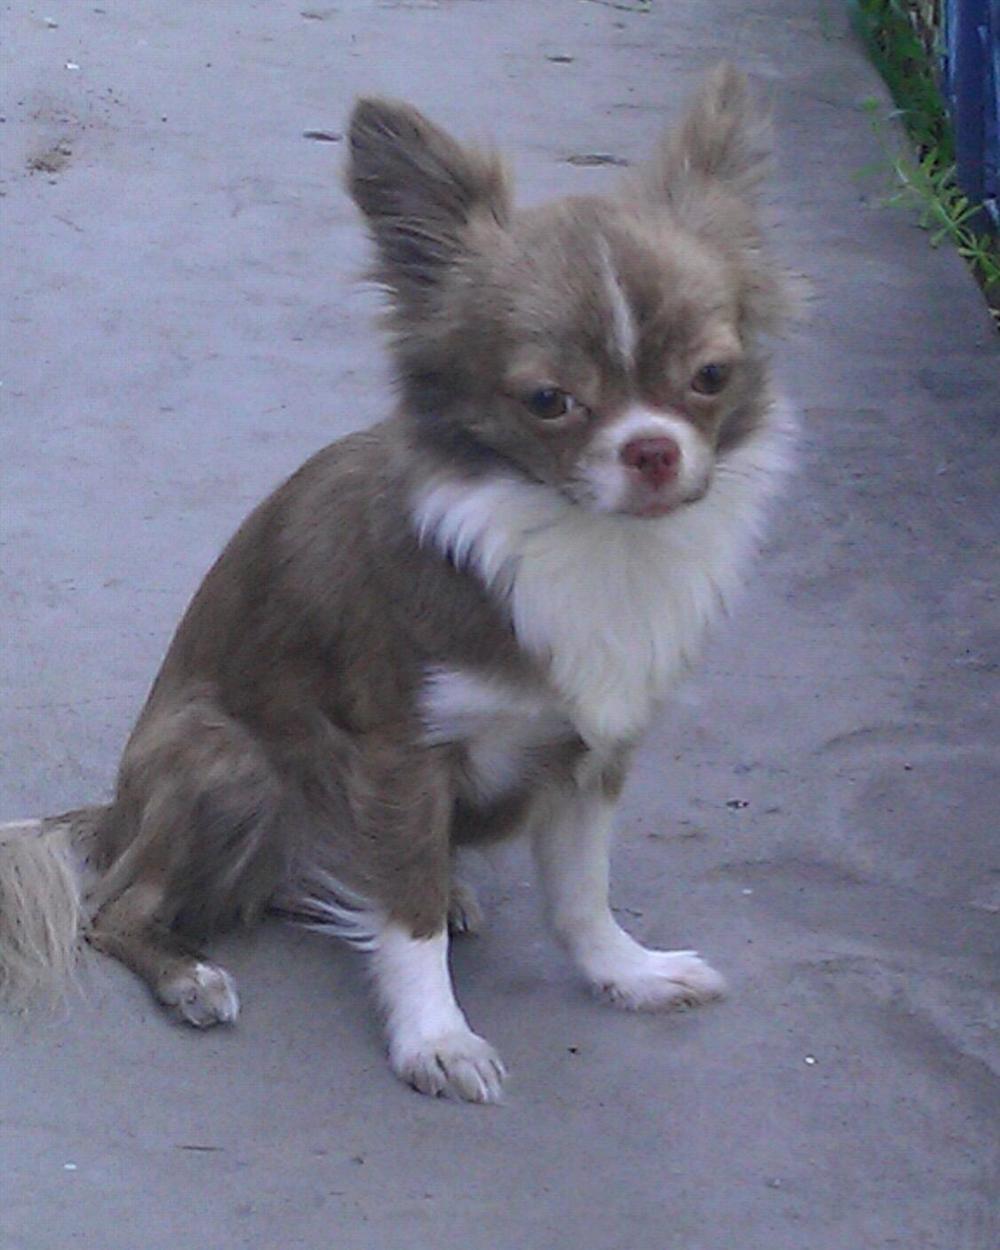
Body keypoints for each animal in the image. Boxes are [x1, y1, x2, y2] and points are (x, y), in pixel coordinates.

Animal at [0, 65, 794, 1102]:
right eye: (548, 401)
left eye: (710, 376)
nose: (653, 450)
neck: (584, 542)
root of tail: (116, 809)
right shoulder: (403, 756)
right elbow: (406, 917)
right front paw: (436, 1038)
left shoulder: (592, 752)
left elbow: (581, 893)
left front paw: (625, 972)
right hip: (234, 763)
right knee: (116, 907)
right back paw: (189, 975)